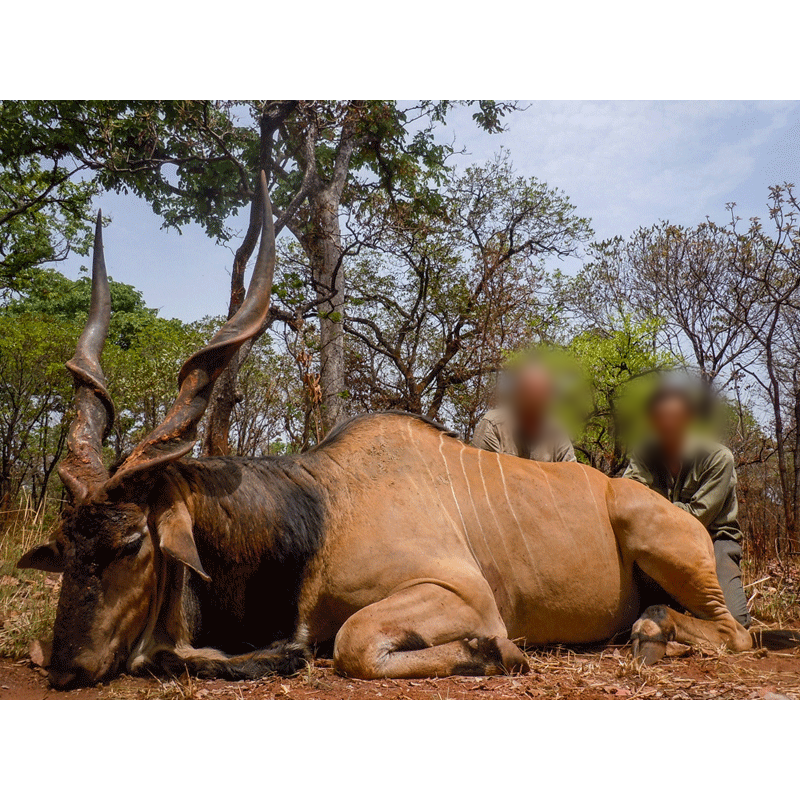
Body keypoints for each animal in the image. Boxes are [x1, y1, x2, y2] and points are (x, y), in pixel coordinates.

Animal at [18, 175, 792, 688]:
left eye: (129, 544)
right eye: (64, 546)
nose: (66, 669)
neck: (318, 512)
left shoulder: (463, 595)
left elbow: (353, 644)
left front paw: (497, 653)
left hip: (660, 537)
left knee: (735, 634)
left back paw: (656, 636)